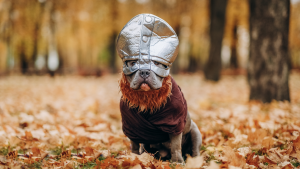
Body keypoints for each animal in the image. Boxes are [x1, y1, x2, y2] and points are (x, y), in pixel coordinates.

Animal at [116, 13, 203, 162]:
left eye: (156, 63)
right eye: (132, 63)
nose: (145, 71)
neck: (146, 98)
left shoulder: (174, 125)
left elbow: (175, 145)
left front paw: (177, 162)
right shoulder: (132, 127)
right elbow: (134, 144)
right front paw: (134, 157)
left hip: (195, 131)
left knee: (194, 149)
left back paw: (194, 160)